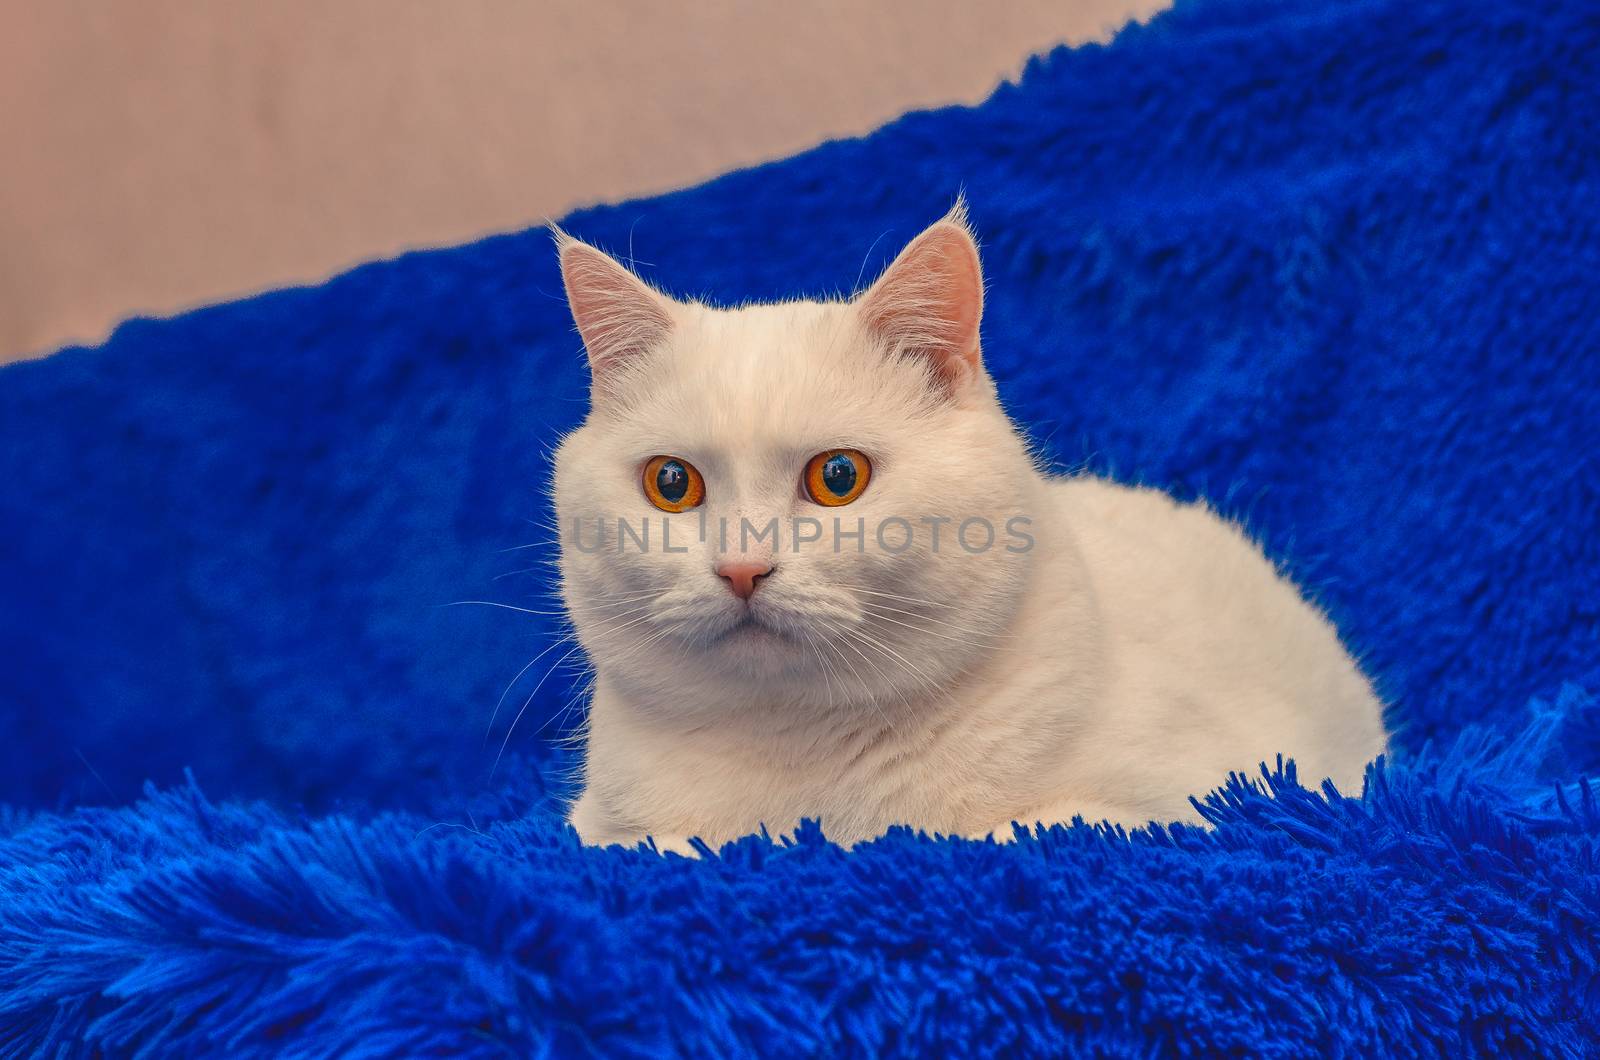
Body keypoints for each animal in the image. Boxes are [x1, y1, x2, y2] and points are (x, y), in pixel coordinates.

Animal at [550, 204, 1388, 858]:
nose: (741, 567)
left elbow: (999, 831)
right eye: (671, 484)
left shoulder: (1186, 804)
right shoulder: (596, 826)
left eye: (838, 477)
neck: (799, 752)